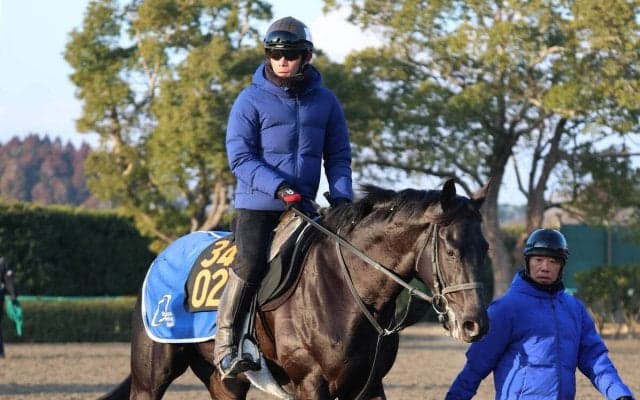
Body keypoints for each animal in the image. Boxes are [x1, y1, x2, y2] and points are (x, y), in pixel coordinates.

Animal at [99, 179, 490, 400]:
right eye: (451, 249)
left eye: (485, 247)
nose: (475, 324)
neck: (345, 289)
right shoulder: (311, 383)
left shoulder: (369, 385)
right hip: (151, 378)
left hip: (225, 382)